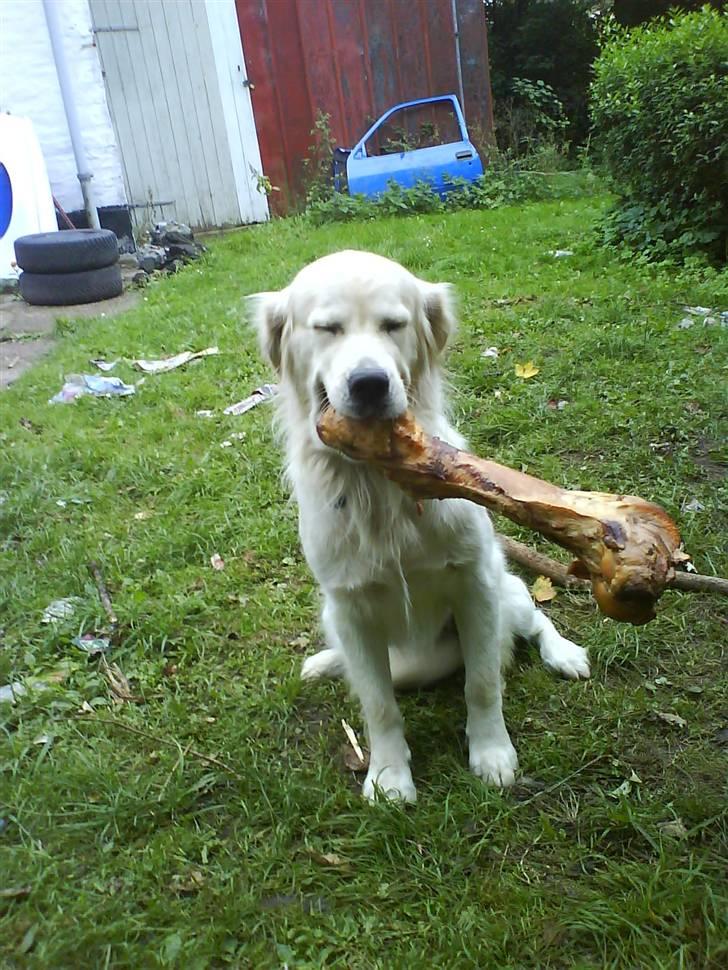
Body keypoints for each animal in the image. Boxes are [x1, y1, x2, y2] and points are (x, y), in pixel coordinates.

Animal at [253, 250, 588, 800]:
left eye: (394, 325)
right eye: (327, 328)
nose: (369, 383)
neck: (380, 481)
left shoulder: (475, 585)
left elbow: (482, 683)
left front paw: (492, 753)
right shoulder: (350, 609)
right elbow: (378, 704)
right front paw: (389, 776)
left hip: (506, 590)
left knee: (535, 619)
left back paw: (564, 654)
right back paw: (325, 663)